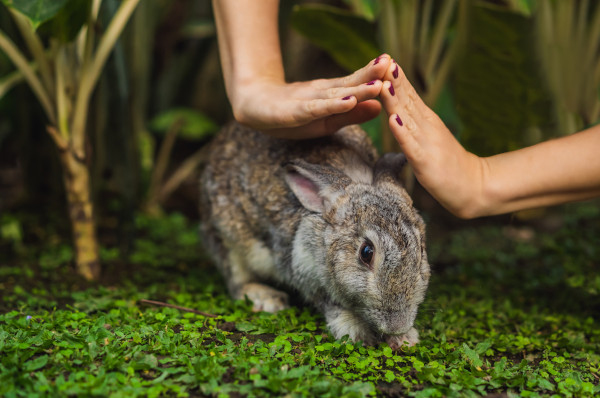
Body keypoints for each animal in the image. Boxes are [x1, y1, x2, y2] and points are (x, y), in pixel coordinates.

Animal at [199, 121, 428, 348]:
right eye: (366, 253)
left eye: (421, 249)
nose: (397, 325)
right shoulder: (303, 268)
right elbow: (330, 303)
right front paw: (355, 331)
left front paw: (404, 339)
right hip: (227, 239)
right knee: (237, 280)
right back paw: (267, 298)